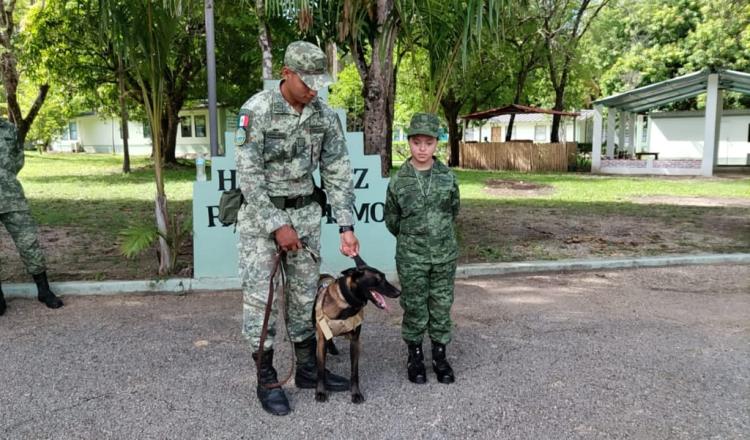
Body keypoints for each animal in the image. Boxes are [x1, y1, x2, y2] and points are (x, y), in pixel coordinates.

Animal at [314, 256, 402, 404]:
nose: (398, 292)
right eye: (378, 279)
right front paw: (320, 391)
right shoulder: (321, 340)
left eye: (385, 277)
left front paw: (355, 393)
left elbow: (354, 372)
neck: (347, 305)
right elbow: (320, 369)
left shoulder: (355, 342)